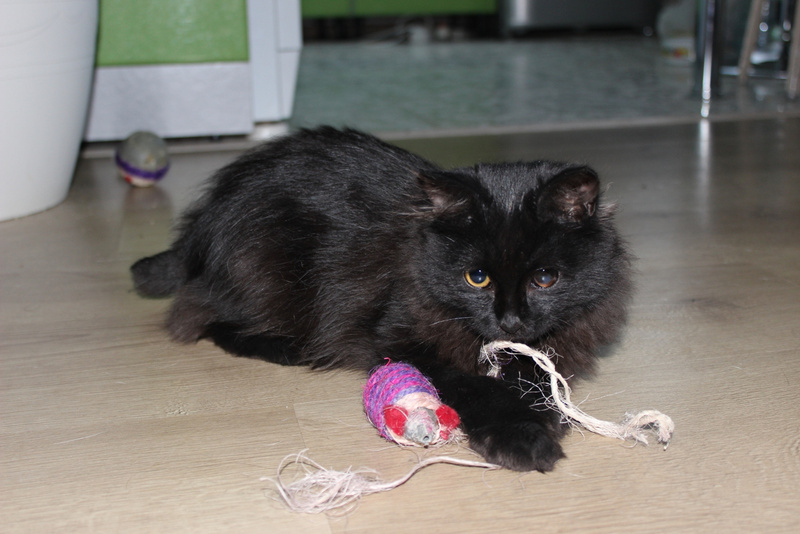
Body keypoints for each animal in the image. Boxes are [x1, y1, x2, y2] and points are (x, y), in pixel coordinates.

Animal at [131, 127, 632, 472]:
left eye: (545, 278)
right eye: (477, 278)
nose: (509, 322)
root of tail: (204, 219)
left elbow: (536, 375)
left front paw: (541, 413)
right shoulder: (399, 337)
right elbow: (475, 385)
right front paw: (520, 435)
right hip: (263, 275)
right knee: (201, 318)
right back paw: (288, 349)